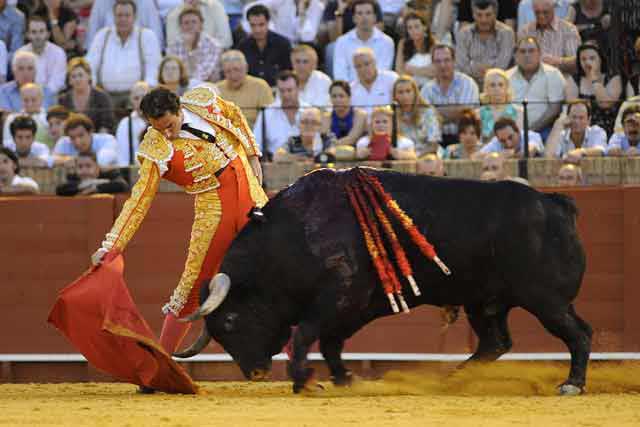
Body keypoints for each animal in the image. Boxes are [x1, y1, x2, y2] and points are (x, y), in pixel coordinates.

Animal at [174, 167, 592, 394]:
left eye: (231, 321)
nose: (256, 373)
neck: (291, 235)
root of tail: (556, 204)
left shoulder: (341, 297)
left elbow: (306, 334)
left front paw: (303, 380)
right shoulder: (356, 306)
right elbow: (330, 342)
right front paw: (343, 378)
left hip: (545, 299)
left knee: (578, 333)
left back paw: (571, 384)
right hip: (485, 302)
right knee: (495, 342)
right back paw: (451, 379)